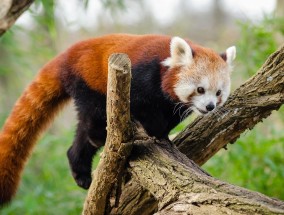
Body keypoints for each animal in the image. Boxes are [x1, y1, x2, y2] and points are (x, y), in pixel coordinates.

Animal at [0, 33, 235, 205]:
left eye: (218, 93)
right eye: (200, 89)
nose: (210, 106)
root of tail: (67, 54)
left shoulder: (171, 104)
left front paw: (163, 135)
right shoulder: (142, 76)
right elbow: (143, 107)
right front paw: (154, 131)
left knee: (81, 134)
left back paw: (80, 169)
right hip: (90, 81)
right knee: (92, 114)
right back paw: (98, 137)